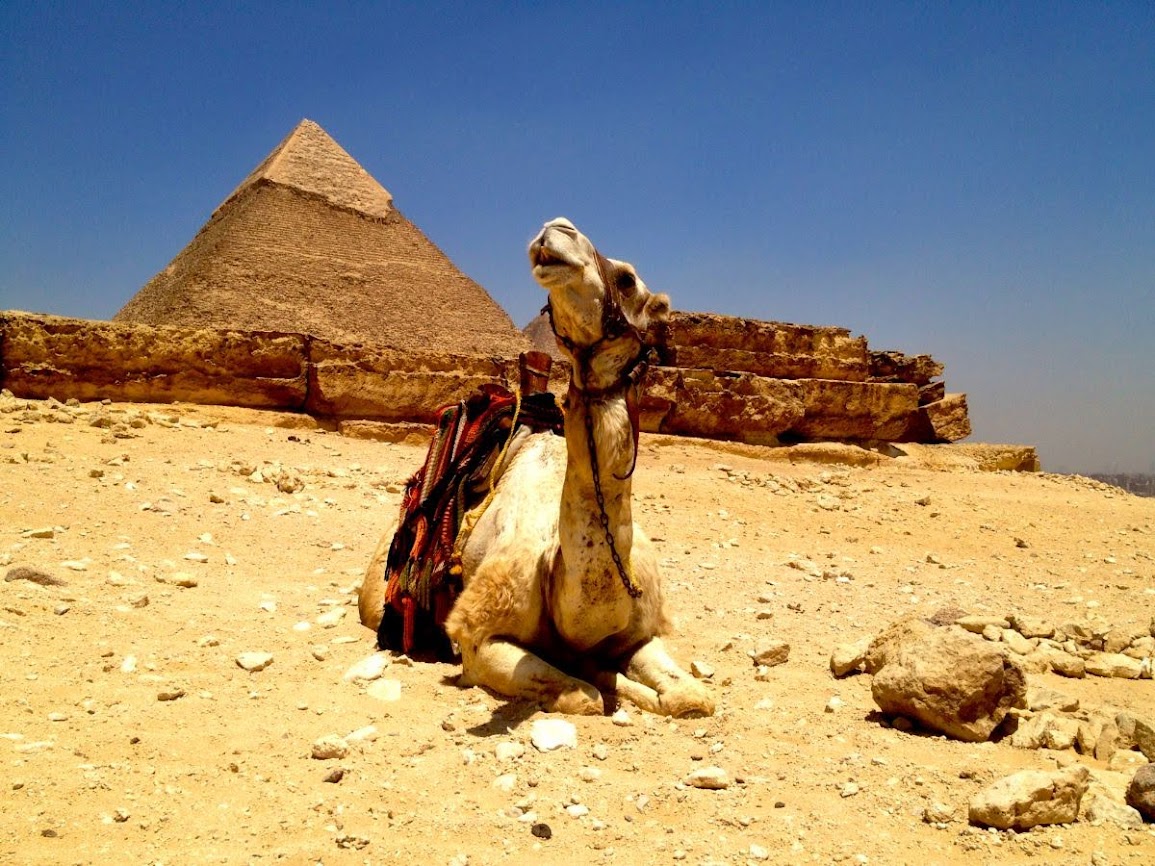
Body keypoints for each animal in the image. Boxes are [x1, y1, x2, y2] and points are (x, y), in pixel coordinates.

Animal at [355, 220, 711, 720]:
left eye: (627, 280)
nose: (556, 231)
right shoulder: (479, 640)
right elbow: (586, 696)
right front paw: (606, 683)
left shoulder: (645, 628)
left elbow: (691, 697)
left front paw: (623, 681)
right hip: (376, 592)